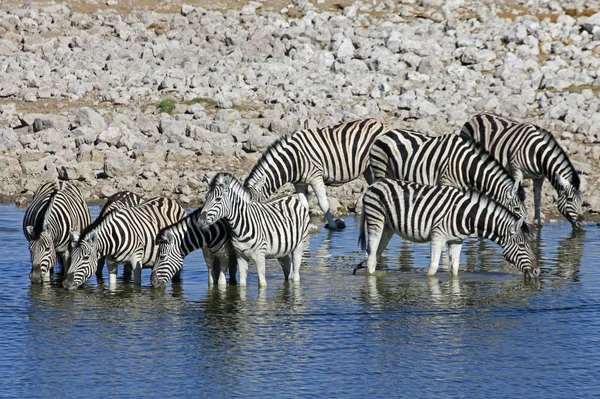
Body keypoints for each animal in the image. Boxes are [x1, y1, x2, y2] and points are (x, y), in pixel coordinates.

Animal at [243, 118, 390, 231]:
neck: (293, 160)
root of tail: (382, 123)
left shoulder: (316, 176)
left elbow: (323, 203)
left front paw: (333, 227)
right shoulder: (299, 183)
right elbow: (304, 204)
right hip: (368, 169)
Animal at [352, 180, 540, 280]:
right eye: (523, 246)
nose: (538, 271)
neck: (466, 215)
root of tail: (373, 185)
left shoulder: (456, 241)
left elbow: (455, 269)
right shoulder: (438, 236)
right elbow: (433, 268)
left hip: (387, 228)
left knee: (373, 256)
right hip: (376, 221)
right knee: (371, 258)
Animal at [370, 130, 528, 227]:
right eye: (515, 208)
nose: (528, 230)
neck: (466, 165)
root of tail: (385, 134)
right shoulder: (446, 183)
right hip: (380, 171)